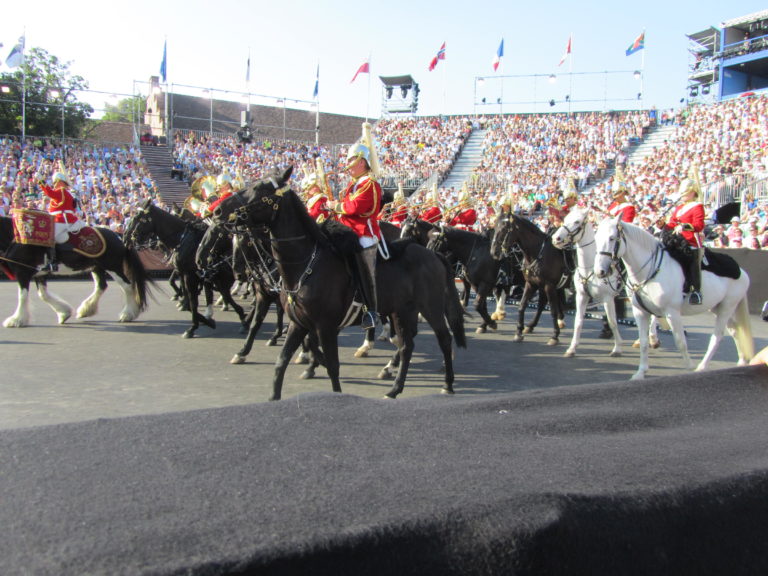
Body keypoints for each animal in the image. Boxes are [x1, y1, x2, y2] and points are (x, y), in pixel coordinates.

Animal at [124, 201, 248, 340]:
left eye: (138, 218)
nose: (128, 237)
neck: (183, 239)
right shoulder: (186, 274)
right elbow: (188, 296)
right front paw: (206, 319)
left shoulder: (192, 275)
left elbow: (194, 300)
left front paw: (193, 327)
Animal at [212, 166, 468, 400]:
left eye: (258, 189)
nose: (217, 211)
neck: (307, 262)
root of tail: (432, 254)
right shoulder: (298, 322)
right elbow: (281, 361)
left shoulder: (326, 326)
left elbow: (333, 367)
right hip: (402, 310)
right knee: (407, 346)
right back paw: (394, 386)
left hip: (430, 308)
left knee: (444, 339)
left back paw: (447, 383)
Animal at [492, 213, 568, 344]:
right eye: (495, 226)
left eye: (504, 228)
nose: (494, 252)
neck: (539, 253)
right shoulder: (531, 283)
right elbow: (522, 305)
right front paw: (518, 332)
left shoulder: (549, 285)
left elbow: (553, 309)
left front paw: (555, 335)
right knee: (542, 304)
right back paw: (532, 325)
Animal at [552, 209, 660, 358]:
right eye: (566, 218)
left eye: (577, 222)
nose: (556, 238)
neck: (590, 267)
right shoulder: (581, 296)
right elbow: (578, 321)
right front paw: (572, 348)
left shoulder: (607, 299)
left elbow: (612, 321)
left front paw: (617, 348)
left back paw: (652, 338)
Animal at [592, 216, 752, 378]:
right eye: (596, 238)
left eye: (612, 238)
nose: (600, 271)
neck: (650, 270)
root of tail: (741, 271)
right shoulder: (640, 312)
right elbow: (643, 342)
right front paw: (641, 372)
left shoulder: (672, 312)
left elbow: (680, 341)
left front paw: (689, 368)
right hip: (716, 308)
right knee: (735, 330)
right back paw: (741, 361)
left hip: (727, 307)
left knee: (717, 336)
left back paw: (701, 367)